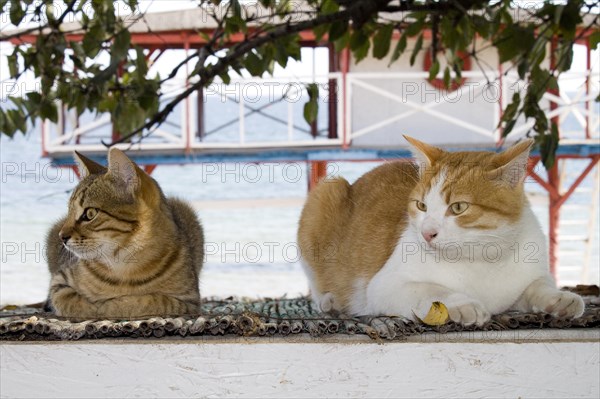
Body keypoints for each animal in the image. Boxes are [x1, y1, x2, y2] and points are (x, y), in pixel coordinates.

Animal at [45, 148, 204, 320]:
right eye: (69, 211)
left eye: (90, 213)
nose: (62, 237)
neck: (123, 264)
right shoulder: (59, 280)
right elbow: (72, 301)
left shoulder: (190, 301)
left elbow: (149, 301)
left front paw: (112, 305)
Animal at [298, 137, 584, 324]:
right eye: (421, 205)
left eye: (458, 207)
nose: (427, 233)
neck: (481, 258)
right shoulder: (384, 285)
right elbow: (432, 290)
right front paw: (463, 303)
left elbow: (539, 285)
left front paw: (559, 298)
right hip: (327, 190)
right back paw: (331, 303)